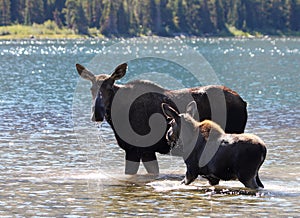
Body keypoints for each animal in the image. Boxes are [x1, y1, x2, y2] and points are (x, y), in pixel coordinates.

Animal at [76, 63, 247, 175]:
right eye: (91, 89)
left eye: (110, 88)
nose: (97, 113)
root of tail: (243, 101)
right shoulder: (138, 151)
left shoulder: (140, 150)